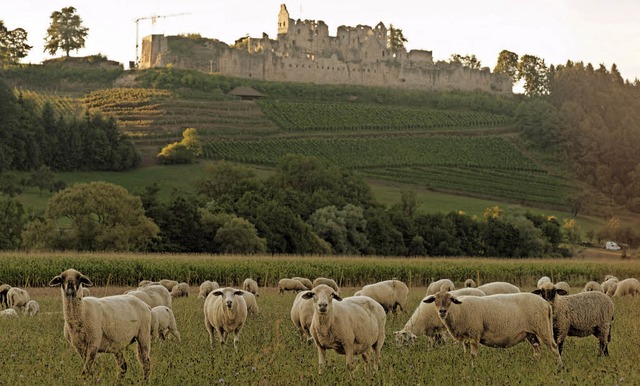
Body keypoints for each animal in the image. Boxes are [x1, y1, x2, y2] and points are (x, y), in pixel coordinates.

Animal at [428, 292, 564, 366]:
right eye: (435, 300)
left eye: (450, 300)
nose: (442, 311)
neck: (458, 310)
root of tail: (546, 304)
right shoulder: (466, 338)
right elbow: (466, 354)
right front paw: (466, 365)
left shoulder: (474, 334)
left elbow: (473, 355)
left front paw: (472, 368)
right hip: (530, 333)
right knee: (537, 349)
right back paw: (534, 364)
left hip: (543, 328)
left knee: (553, 347)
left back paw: (559, 367)